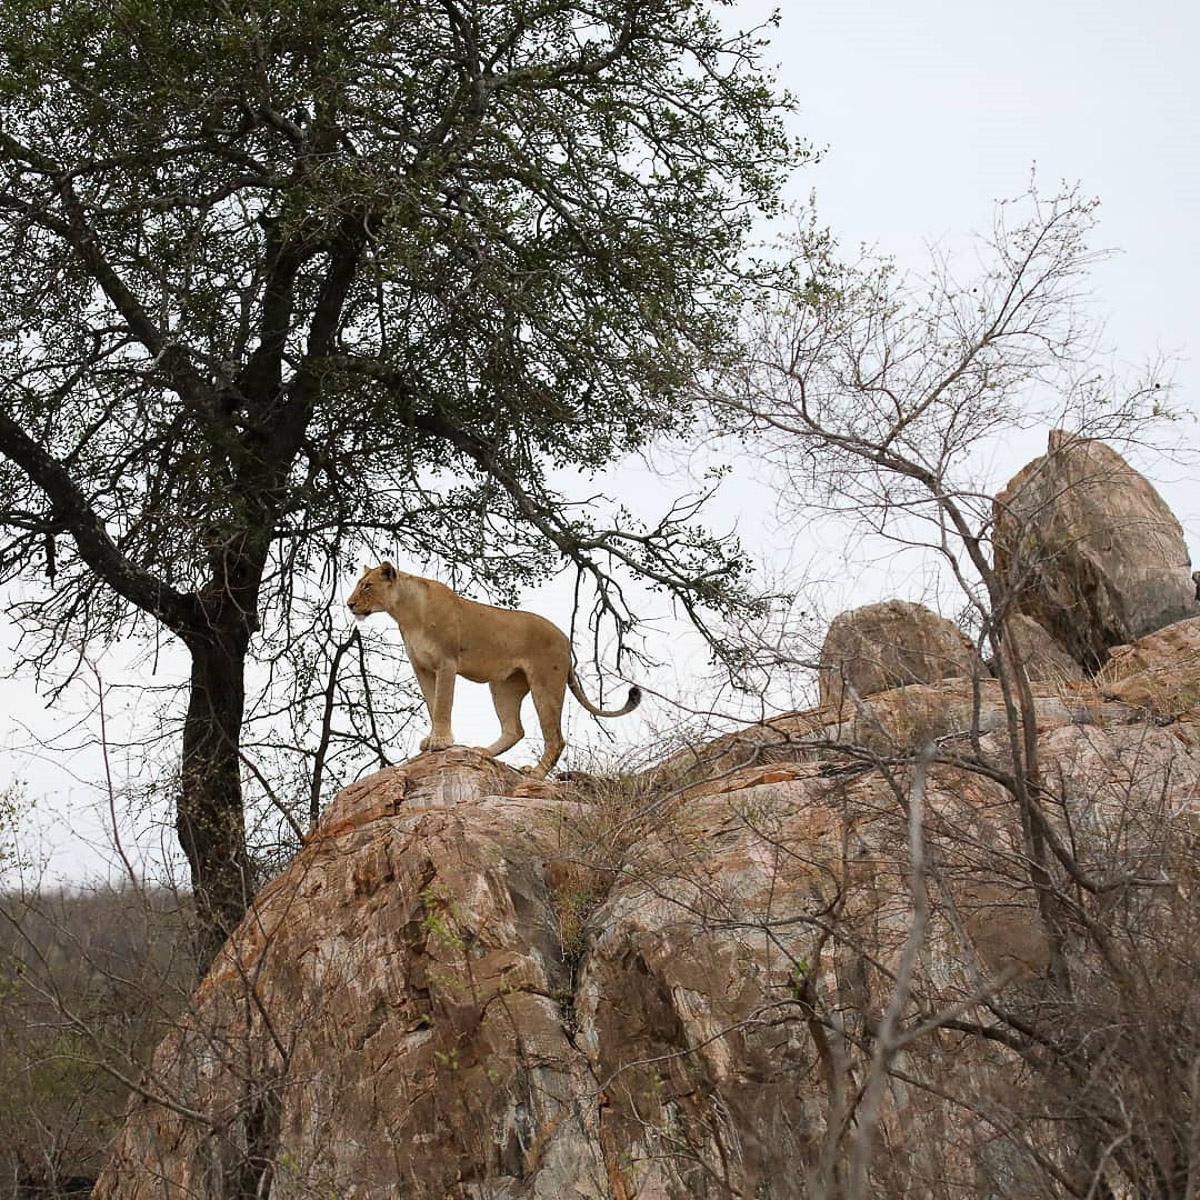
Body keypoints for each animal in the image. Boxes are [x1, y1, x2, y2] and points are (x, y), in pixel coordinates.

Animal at [347, 562, 641, 778]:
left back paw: (535, 773)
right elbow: (431, 704)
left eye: (367, 585)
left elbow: (442, 703)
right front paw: (432, 739)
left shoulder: (446, 663)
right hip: (504, 686)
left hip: (545, 683)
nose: (349, 604)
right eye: (359, 585)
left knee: (555, 738)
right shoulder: (422, 668)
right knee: (515, 729)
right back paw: (483, 753)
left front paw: (441, 741)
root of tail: (566, 640)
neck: (405, 613)